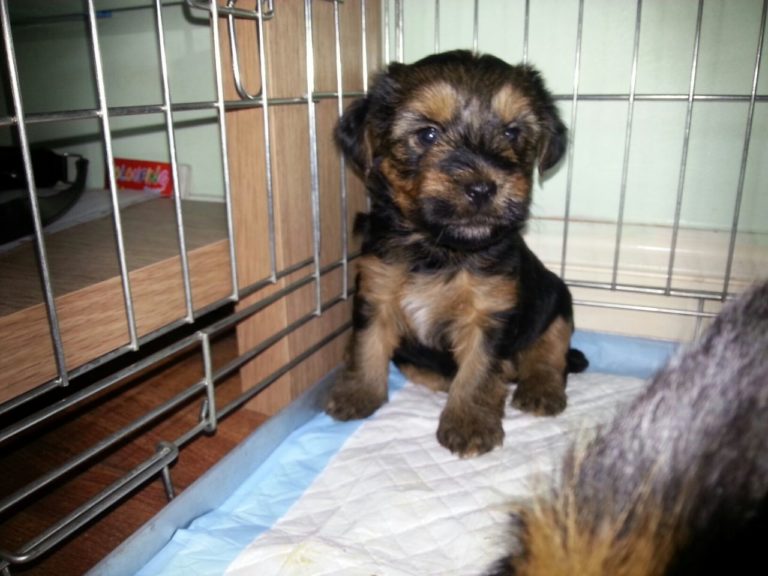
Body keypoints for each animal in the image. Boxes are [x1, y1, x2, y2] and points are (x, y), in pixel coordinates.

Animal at [326, 49, 588, 456]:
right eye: (428, 134)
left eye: (512, 133)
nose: (482, 188)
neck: (438, 246)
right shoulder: (375, 290)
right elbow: (367, 345)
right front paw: (358, 393)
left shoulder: (490, 312)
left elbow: (479, 370)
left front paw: (469, 423)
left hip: (556, 298)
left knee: (551, 351)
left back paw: (540, 388)